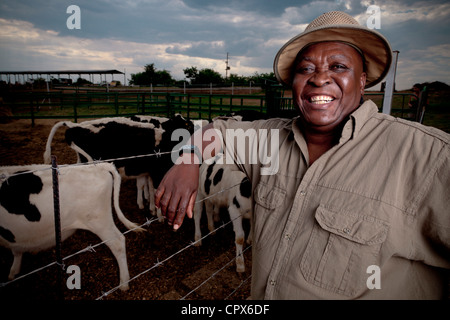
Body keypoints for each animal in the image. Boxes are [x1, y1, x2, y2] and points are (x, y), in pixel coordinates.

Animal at [0, 162, 142, 290]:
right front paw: (14, 270)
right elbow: (16, 250)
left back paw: (124, 284)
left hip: (100, 222)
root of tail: (97, 166)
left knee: (118, 243)